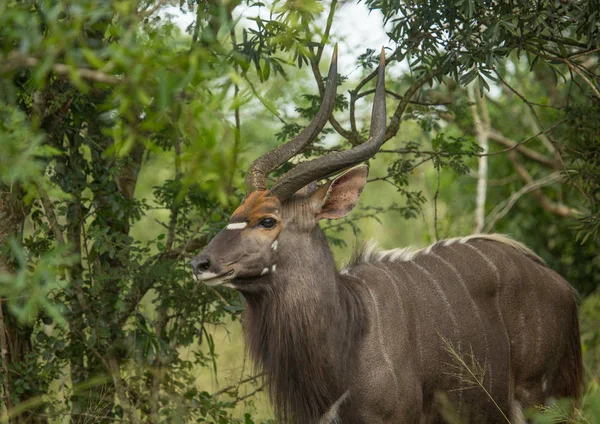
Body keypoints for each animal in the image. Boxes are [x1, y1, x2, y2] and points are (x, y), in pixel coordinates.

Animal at [190, 48, 584, 422]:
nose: (200, 263)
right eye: (235, 213)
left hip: (543, 399)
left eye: (268, 220)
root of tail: (564, 287)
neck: (351, 332)